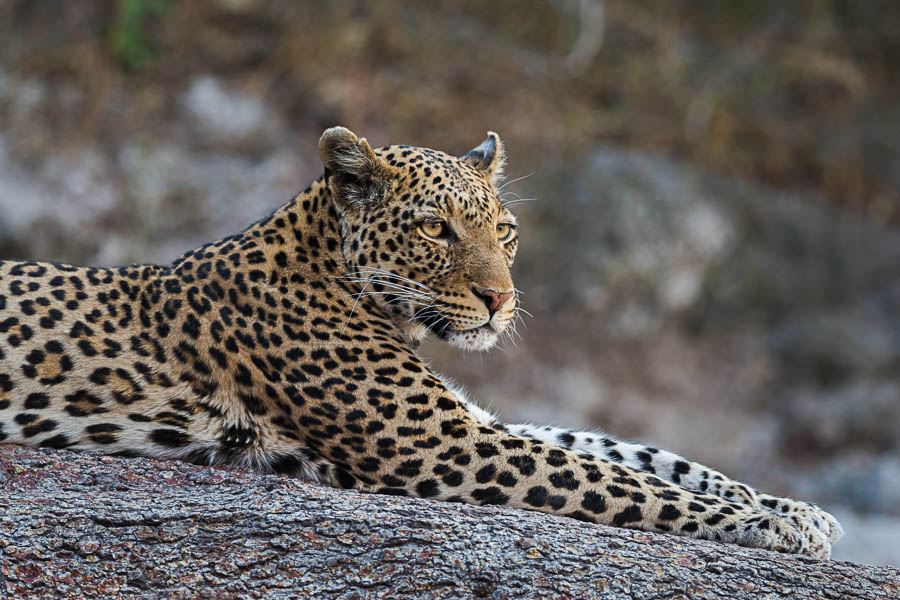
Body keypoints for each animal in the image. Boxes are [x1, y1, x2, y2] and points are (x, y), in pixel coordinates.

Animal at [0, 126, 842, 559]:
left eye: (504, 230)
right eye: (437, 229)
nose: (501, 300)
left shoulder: (464, 421)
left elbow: (621, 448)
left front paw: (791, 506)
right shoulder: (437, 443)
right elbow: (612, 476)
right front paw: (774, 526)